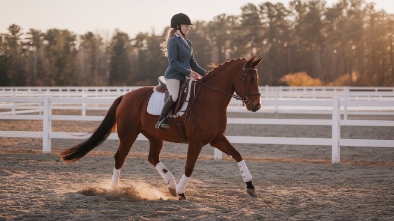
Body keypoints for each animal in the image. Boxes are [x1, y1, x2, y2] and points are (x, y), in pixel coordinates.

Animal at [61, 55, 264, 200]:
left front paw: (251, 187)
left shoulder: (216, 139)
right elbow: (189, 166)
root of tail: (125, 96)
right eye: (249, 79)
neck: (209, 100)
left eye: (257, 78)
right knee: (120, 158)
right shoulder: (196, 142)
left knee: (152, 158)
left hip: (154, 136)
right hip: (128, 135)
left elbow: (238, 155)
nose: (256, 106)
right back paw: (114, 189)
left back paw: (171, 186)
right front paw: (182, 192)